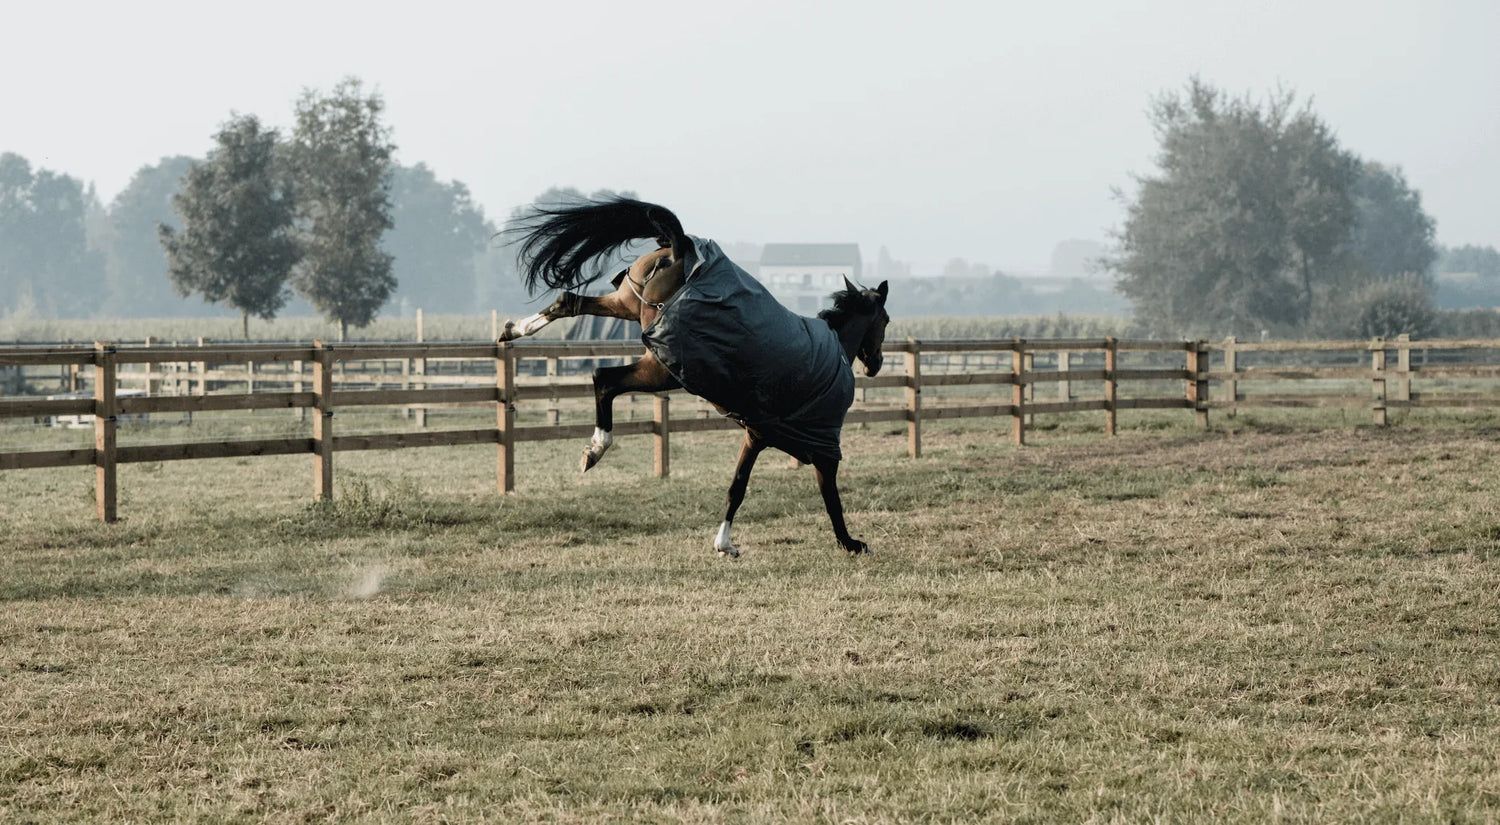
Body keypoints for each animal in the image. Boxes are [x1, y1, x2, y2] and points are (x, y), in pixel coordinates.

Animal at [499, 197, 890, 557]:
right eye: (885, 321)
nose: (876, 364)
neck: (832, 348)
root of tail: (680, 247)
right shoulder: (820, 446)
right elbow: (830, 496)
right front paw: (850, 542)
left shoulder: (756, 434)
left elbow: (737, 486)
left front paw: (724, 544)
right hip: (662, 369)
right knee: (604, 378)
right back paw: (595, 448)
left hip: (629, 309)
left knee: (570, 302)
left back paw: (514, 329)